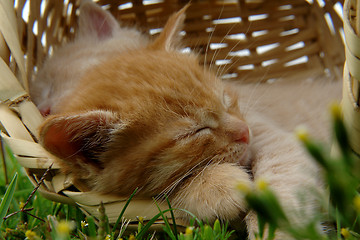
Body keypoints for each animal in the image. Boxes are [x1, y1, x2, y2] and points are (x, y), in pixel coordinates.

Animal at [30, 1, 332, 238]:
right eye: (193, 133)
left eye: (226, 99)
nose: (43, 109)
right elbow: (160, 194)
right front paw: (218, 185)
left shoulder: (270, 133)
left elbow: (281, 177)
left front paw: (280, 230)